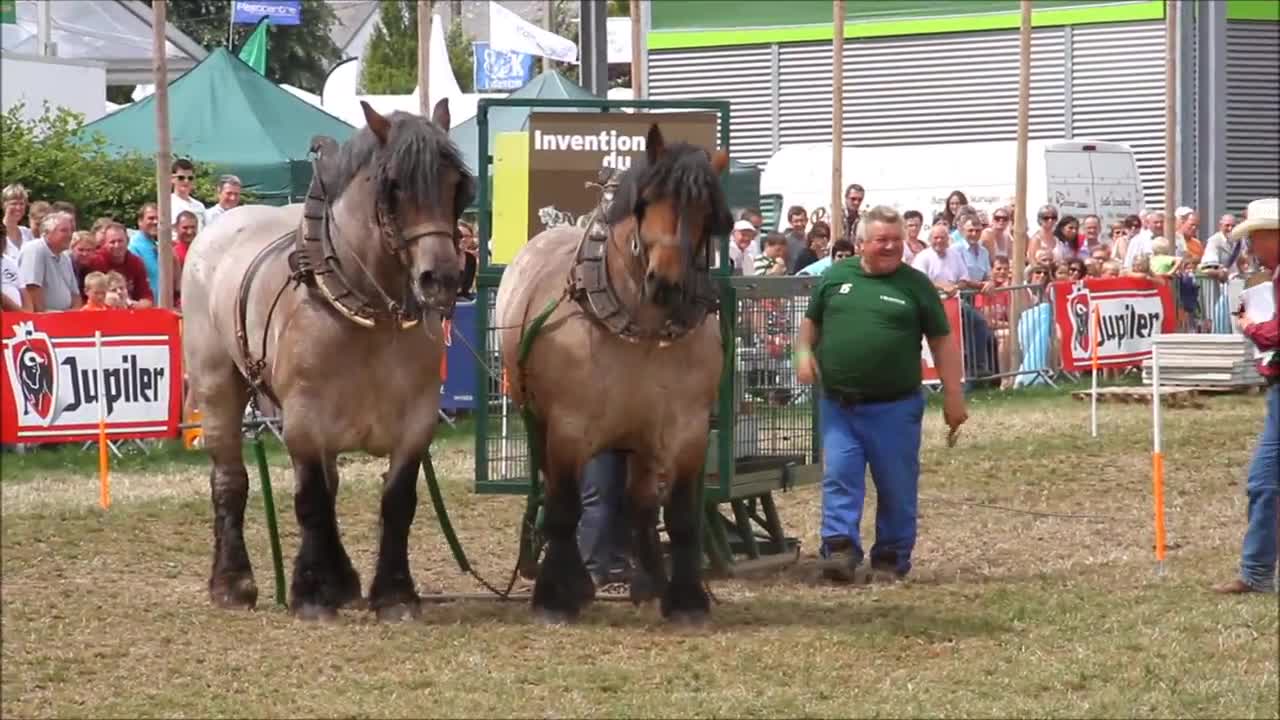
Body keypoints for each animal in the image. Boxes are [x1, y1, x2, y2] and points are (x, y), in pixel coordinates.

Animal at [180, 99, 476, 617]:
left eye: (457, 184)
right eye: (394, 186)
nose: (440, 278)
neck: (369, 311)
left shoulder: (418, 420)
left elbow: (397, 500)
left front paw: (393, 593)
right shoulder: (303, 418)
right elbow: (312, 501)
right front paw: (312, 593)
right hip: (218, 385)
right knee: (231, 479)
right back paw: (233, 583)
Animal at [494, 124, 732, 622]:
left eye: (707, 213)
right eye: (648, 200)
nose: (665, 283)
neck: (640, 330)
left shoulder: (687, 429)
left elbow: (679, 515)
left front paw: (685, 598)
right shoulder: (566, 427)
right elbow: (564, 510)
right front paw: (554, 596)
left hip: (635, 434)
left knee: (638, 501)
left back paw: (650, 580)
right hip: (539, 421)